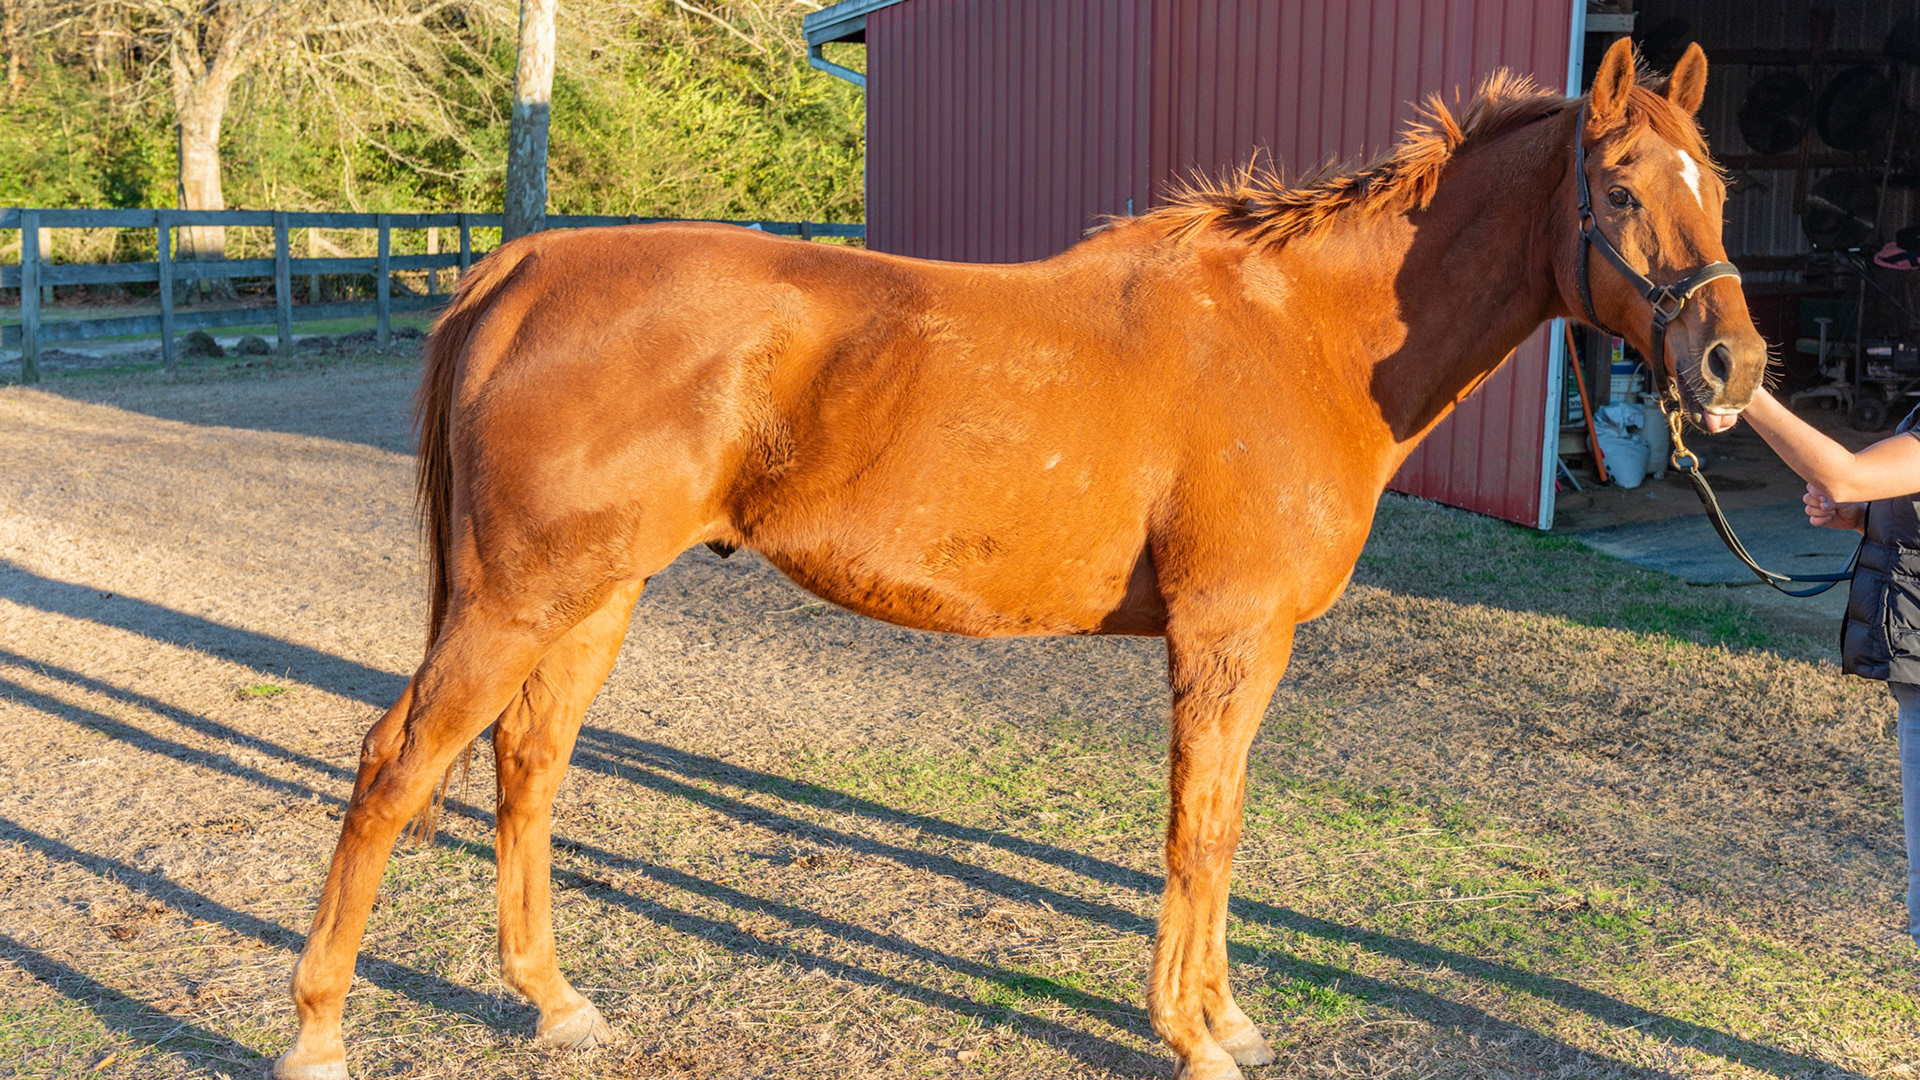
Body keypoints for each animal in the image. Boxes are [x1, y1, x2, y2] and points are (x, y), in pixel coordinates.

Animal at [276, 38, 1762, 1080]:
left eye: (1722, 189)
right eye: (1622, 187)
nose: (1731, 368)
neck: (1301, 335)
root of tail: (519, 269)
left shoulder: (1247, 647)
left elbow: (1221, 828)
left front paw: (1225, 1016)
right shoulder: (1226, 638)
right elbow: (1198, 833)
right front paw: (1196, 1034)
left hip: (594, 597)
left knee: (527, 767)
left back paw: (555, 1001)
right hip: (514, 600)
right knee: (395, 766)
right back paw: (318, 1031)